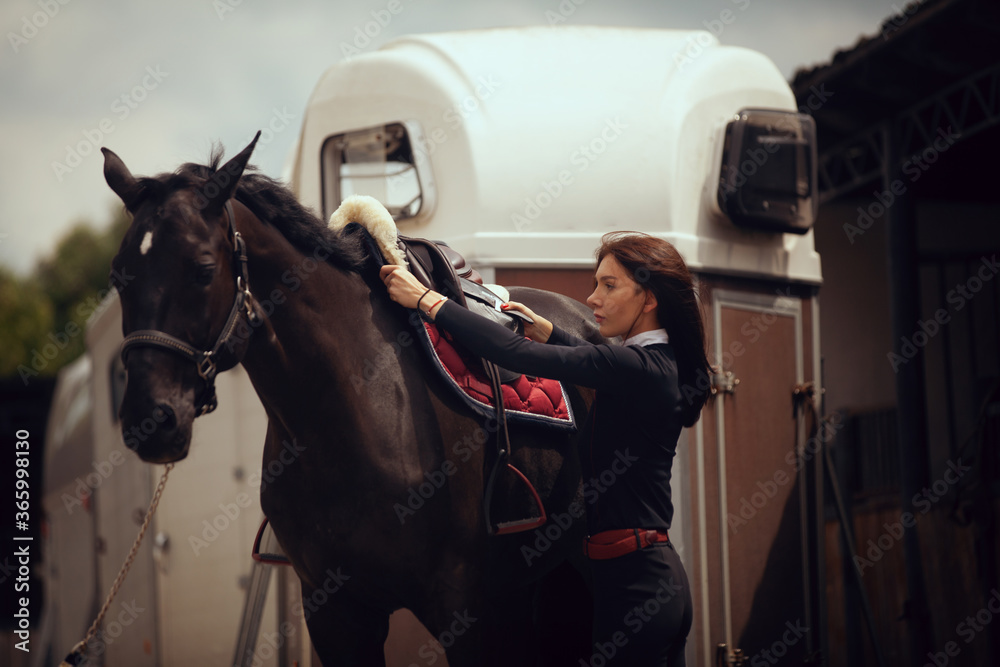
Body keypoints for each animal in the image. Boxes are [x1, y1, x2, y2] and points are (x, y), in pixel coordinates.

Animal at [103, 133, 600, 664]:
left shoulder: (466, 609)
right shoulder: (336, 613)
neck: (346, 416)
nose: (150, 420)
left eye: (202, 269)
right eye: (118, 276)